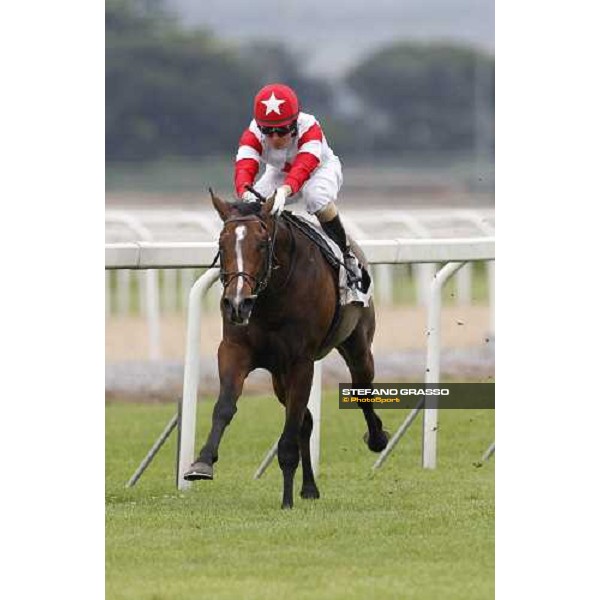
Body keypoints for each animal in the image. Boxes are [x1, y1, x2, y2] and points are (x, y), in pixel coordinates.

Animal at [184, 190, 390, 508]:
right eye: (221, 243)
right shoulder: (234, 350)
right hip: (278, 376)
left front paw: (286, 500)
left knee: (361, 390)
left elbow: (289, 434)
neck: (271, 296)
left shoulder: (300, 362)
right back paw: (309, 487)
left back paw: (377, 437)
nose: (237, 303)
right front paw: (202, 462)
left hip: (357, 345)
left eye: (261, 243)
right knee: (307, 421)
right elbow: (224, 407)